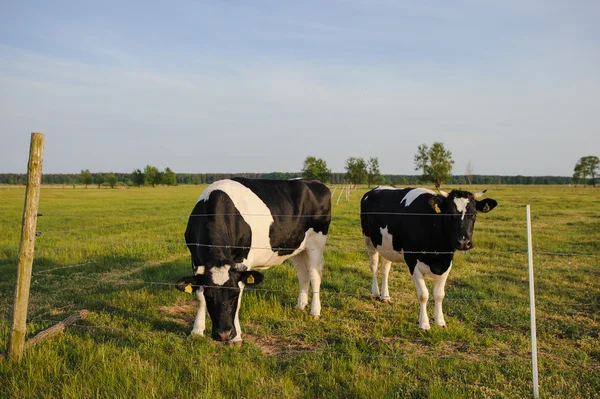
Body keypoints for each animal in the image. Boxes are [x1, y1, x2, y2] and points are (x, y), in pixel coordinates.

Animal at [176, 178, 330, 344]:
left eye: (234, 295)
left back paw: (315, 311)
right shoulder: (196, 259)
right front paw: (197, 331)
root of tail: (312, 181)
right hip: (297, 247)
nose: (224, 334)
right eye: (209, 296)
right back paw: (300, 305)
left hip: (316, 242)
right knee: (302, 275)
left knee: (314, 276)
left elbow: (239, 298)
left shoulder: (242, 261)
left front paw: (236, 337)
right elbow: (199, 296)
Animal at [360, 188, 496, 332]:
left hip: (387, 247)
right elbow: (423, 294)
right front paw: (424, 324)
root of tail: (374, 189)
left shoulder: (447, 263)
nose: (464, 243)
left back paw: (385, 296)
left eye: (474, 214)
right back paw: (375, 293)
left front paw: (440, 321)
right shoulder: (412, 262)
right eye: (449, 214)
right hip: (368, 240)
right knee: (374, 266)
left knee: (385, 269)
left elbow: (439, 294)